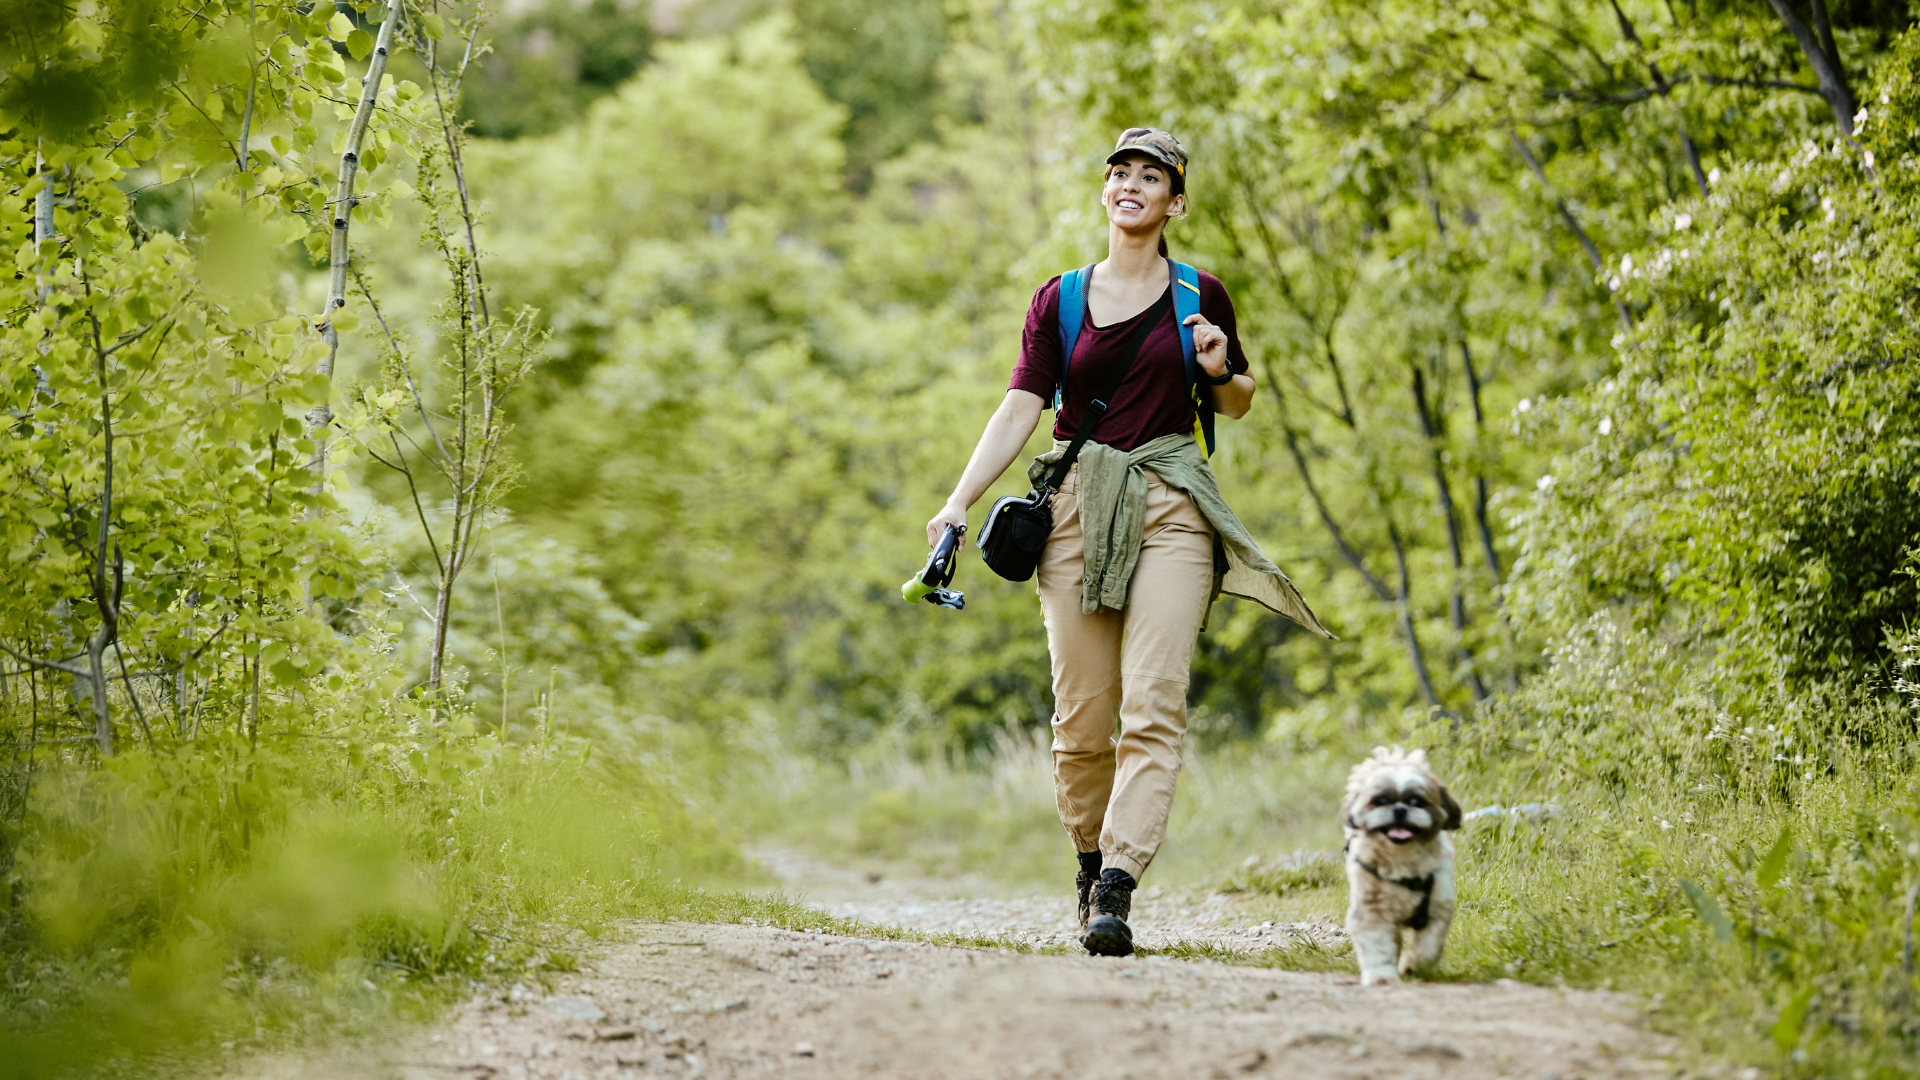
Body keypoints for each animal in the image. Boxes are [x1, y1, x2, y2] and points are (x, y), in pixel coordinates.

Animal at [1344, 745, 1459, 980]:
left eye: (1417, 802)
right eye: (1380, 801)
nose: (1399, 809)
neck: (1402, 859)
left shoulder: (1436, 909)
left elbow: (1428, 946)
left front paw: (1413, 965)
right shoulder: (1371, 910)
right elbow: (1376, 945)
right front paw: (1381, 975)